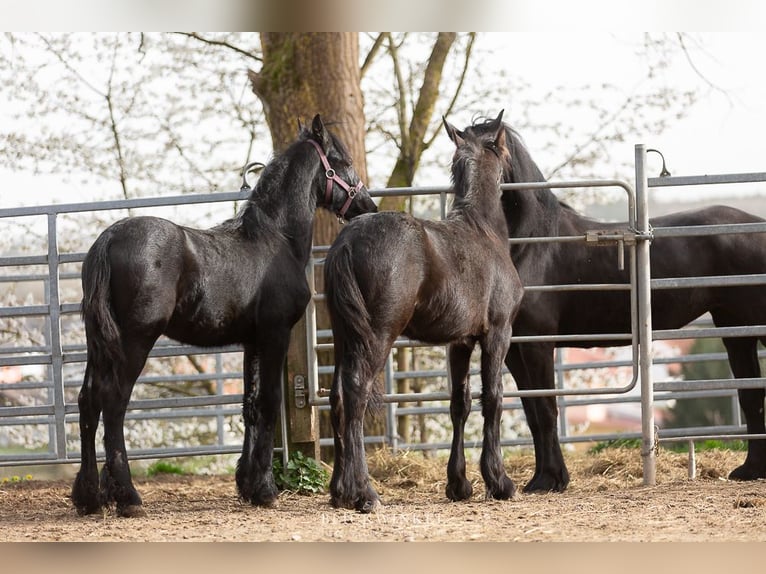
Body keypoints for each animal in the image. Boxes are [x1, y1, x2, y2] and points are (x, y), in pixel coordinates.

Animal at [71, 114, 377, 517]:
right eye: (342, 161)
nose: (368, 205)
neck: (276, 239)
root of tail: (107, 241)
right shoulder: (276, 334)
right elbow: (269, 402)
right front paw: (265, 490)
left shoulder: (251, 341)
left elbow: (250, 405)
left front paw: (248, 485)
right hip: (134, 342)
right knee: (114, 403)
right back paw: (128, 497)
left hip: (99, 344)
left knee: (88, 402)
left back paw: (89, 496)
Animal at [324, 110, 524, 513]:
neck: (483, 232)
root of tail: (347, 242)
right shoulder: (497, 334)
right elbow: (493, 399)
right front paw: (499, 482)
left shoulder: (460, 342)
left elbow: (460, 404)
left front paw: (459, 484)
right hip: (378, 336)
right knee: (355, 393)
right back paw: (365, 493)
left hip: (344, 336)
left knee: (337, 396)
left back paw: (339, 492)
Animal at [459, 116, 766, 492]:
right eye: (455, 162)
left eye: (490, 155)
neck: (534, 244)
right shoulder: (515, 347)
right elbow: (532, 411)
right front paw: (541, 477)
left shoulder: (537, 344)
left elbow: (546, 409)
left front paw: (551, 479)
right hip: (736, 328)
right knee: (751, 393)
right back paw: (750, 469)